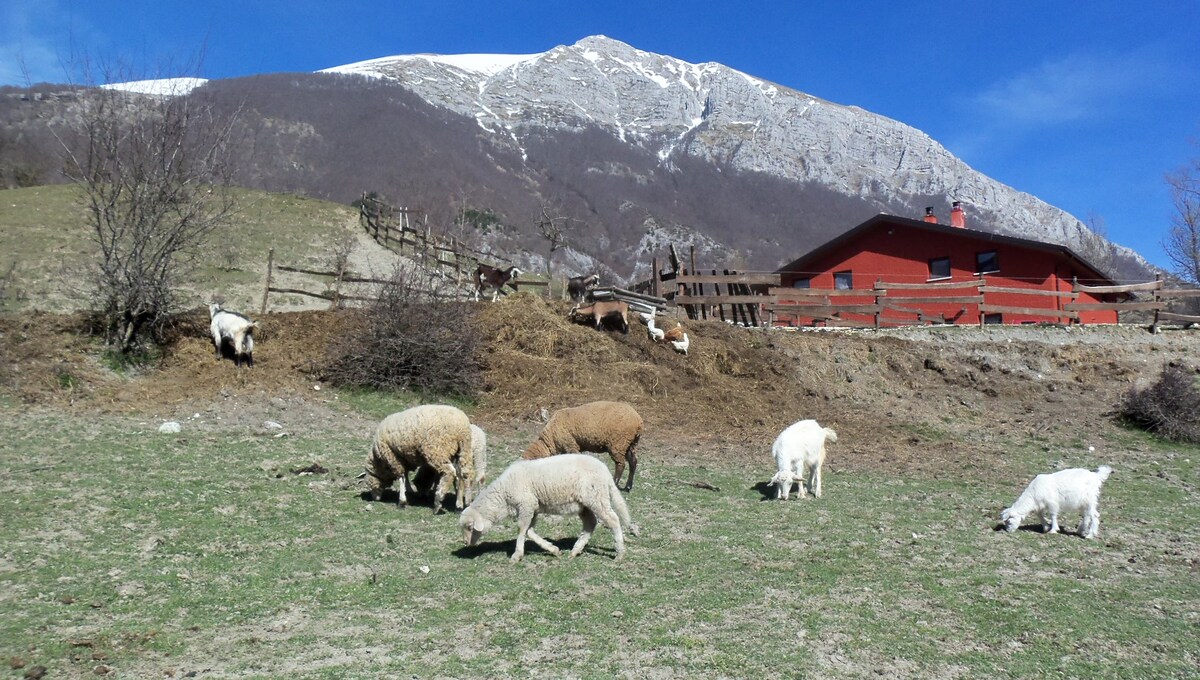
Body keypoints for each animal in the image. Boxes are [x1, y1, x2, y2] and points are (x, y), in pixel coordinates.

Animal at [456, 455, 638, 561]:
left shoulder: (526, 504)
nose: (466, 543)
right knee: (590, 523)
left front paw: (516, 555)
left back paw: (619, 553)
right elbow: (529, 531)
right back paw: (575, 550)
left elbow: (521, 529)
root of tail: (605, 471)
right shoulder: (533, 507)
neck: (503, 495)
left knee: (613, 520)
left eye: (470, 527)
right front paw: (553, 549)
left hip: (596, 497)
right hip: (584, 504)